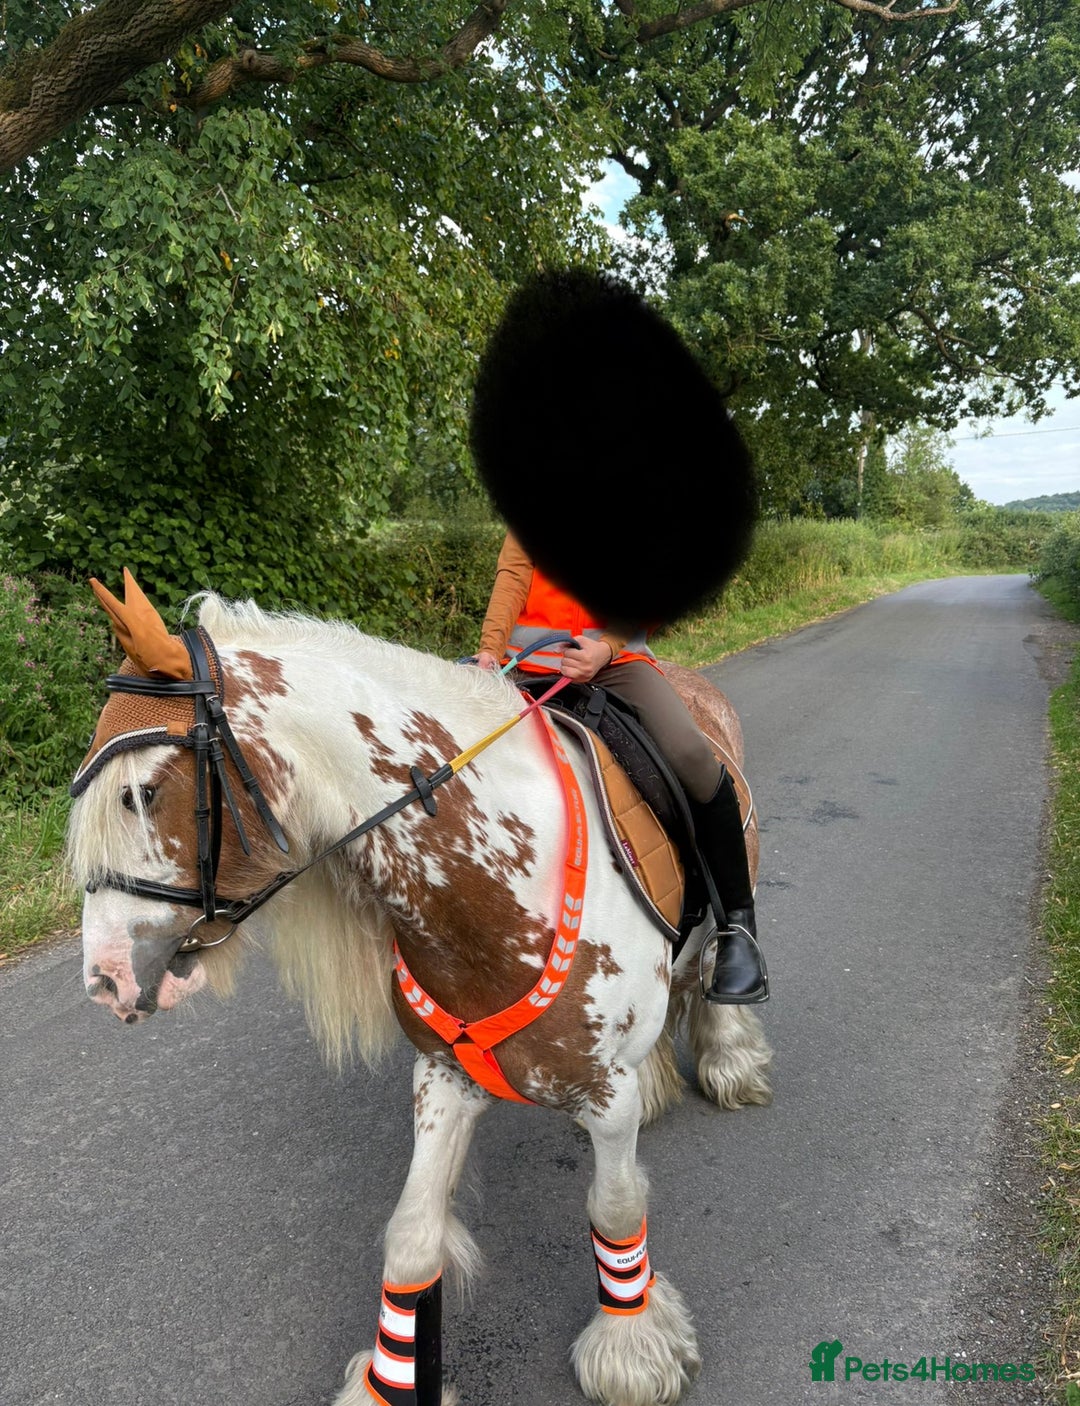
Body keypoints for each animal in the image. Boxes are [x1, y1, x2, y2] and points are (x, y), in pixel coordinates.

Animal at [67, 574, 773, 1406]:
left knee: (713, 964)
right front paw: (387, 1384)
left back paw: (730, 1055)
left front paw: (634, 1351)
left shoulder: (606, 1093)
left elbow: (615, 1205)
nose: (106, 977)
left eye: (142, 793)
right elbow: (411, 1236)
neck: (495, 888)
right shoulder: (444, 1073)